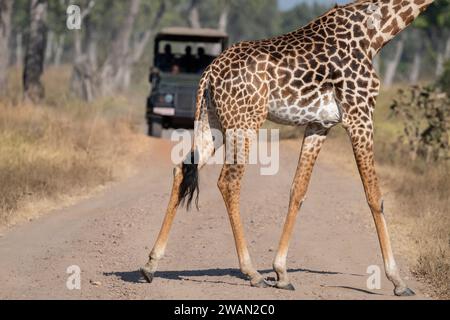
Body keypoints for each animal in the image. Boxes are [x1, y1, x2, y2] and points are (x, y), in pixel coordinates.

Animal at [142, 0, 436, 298]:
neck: (374, 33)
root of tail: (209, 74)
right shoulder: (359, 114)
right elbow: (374, 195)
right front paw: (398, 281)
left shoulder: (320, 124)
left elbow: (298, 190)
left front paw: (281, 273)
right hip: (244, 122)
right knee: (228, 182)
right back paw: (252, 273)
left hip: (211, 121)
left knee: (182, 169)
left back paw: (150, 264)